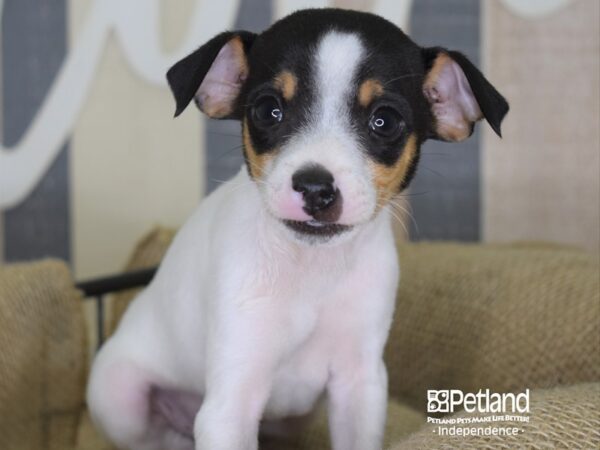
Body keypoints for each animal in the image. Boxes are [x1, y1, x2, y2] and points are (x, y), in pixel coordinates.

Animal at [86, 7, 506, 450]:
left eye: (385, 121)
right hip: (118, 397)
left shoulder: (359, 386)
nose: (315, 188)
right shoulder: (230, 403)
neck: (311, 270)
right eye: (268, 110)